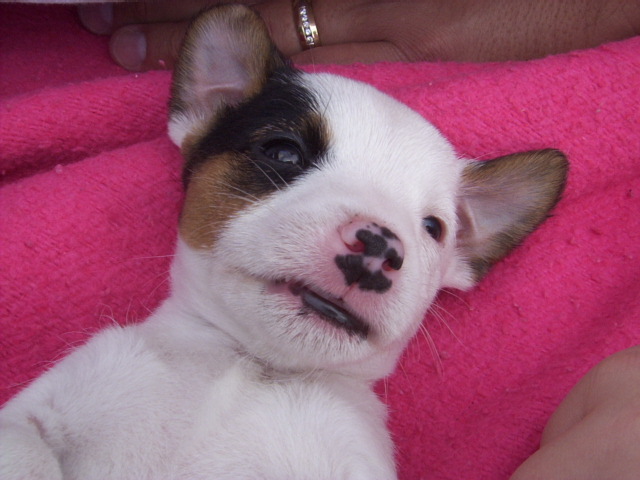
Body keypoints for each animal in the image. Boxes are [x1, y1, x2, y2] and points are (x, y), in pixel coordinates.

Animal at [0, 5, 568, 479]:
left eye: (434, 228)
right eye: (284, 153)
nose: (379, 246)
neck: (250, 365)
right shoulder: (55, 400)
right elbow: (23, 446)